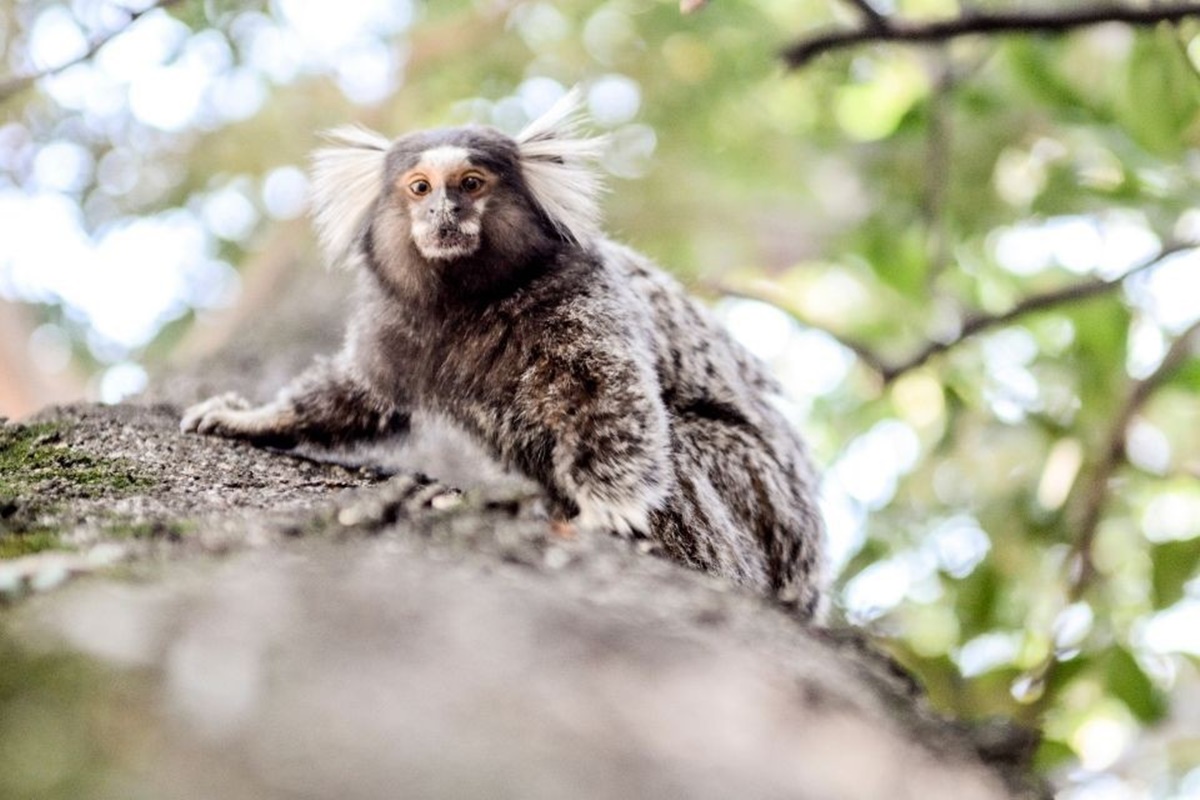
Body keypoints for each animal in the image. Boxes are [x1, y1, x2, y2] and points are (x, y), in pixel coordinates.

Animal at [181, 89, 827, 619]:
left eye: (471, 183)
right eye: (420, 187)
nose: (444, 213)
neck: (471, 302)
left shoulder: (583, 296)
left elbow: (610, 398)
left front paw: (608, 513)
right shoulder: (396, 324)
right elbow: (359, 395)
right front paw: (255, 418)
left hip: (761, 495)